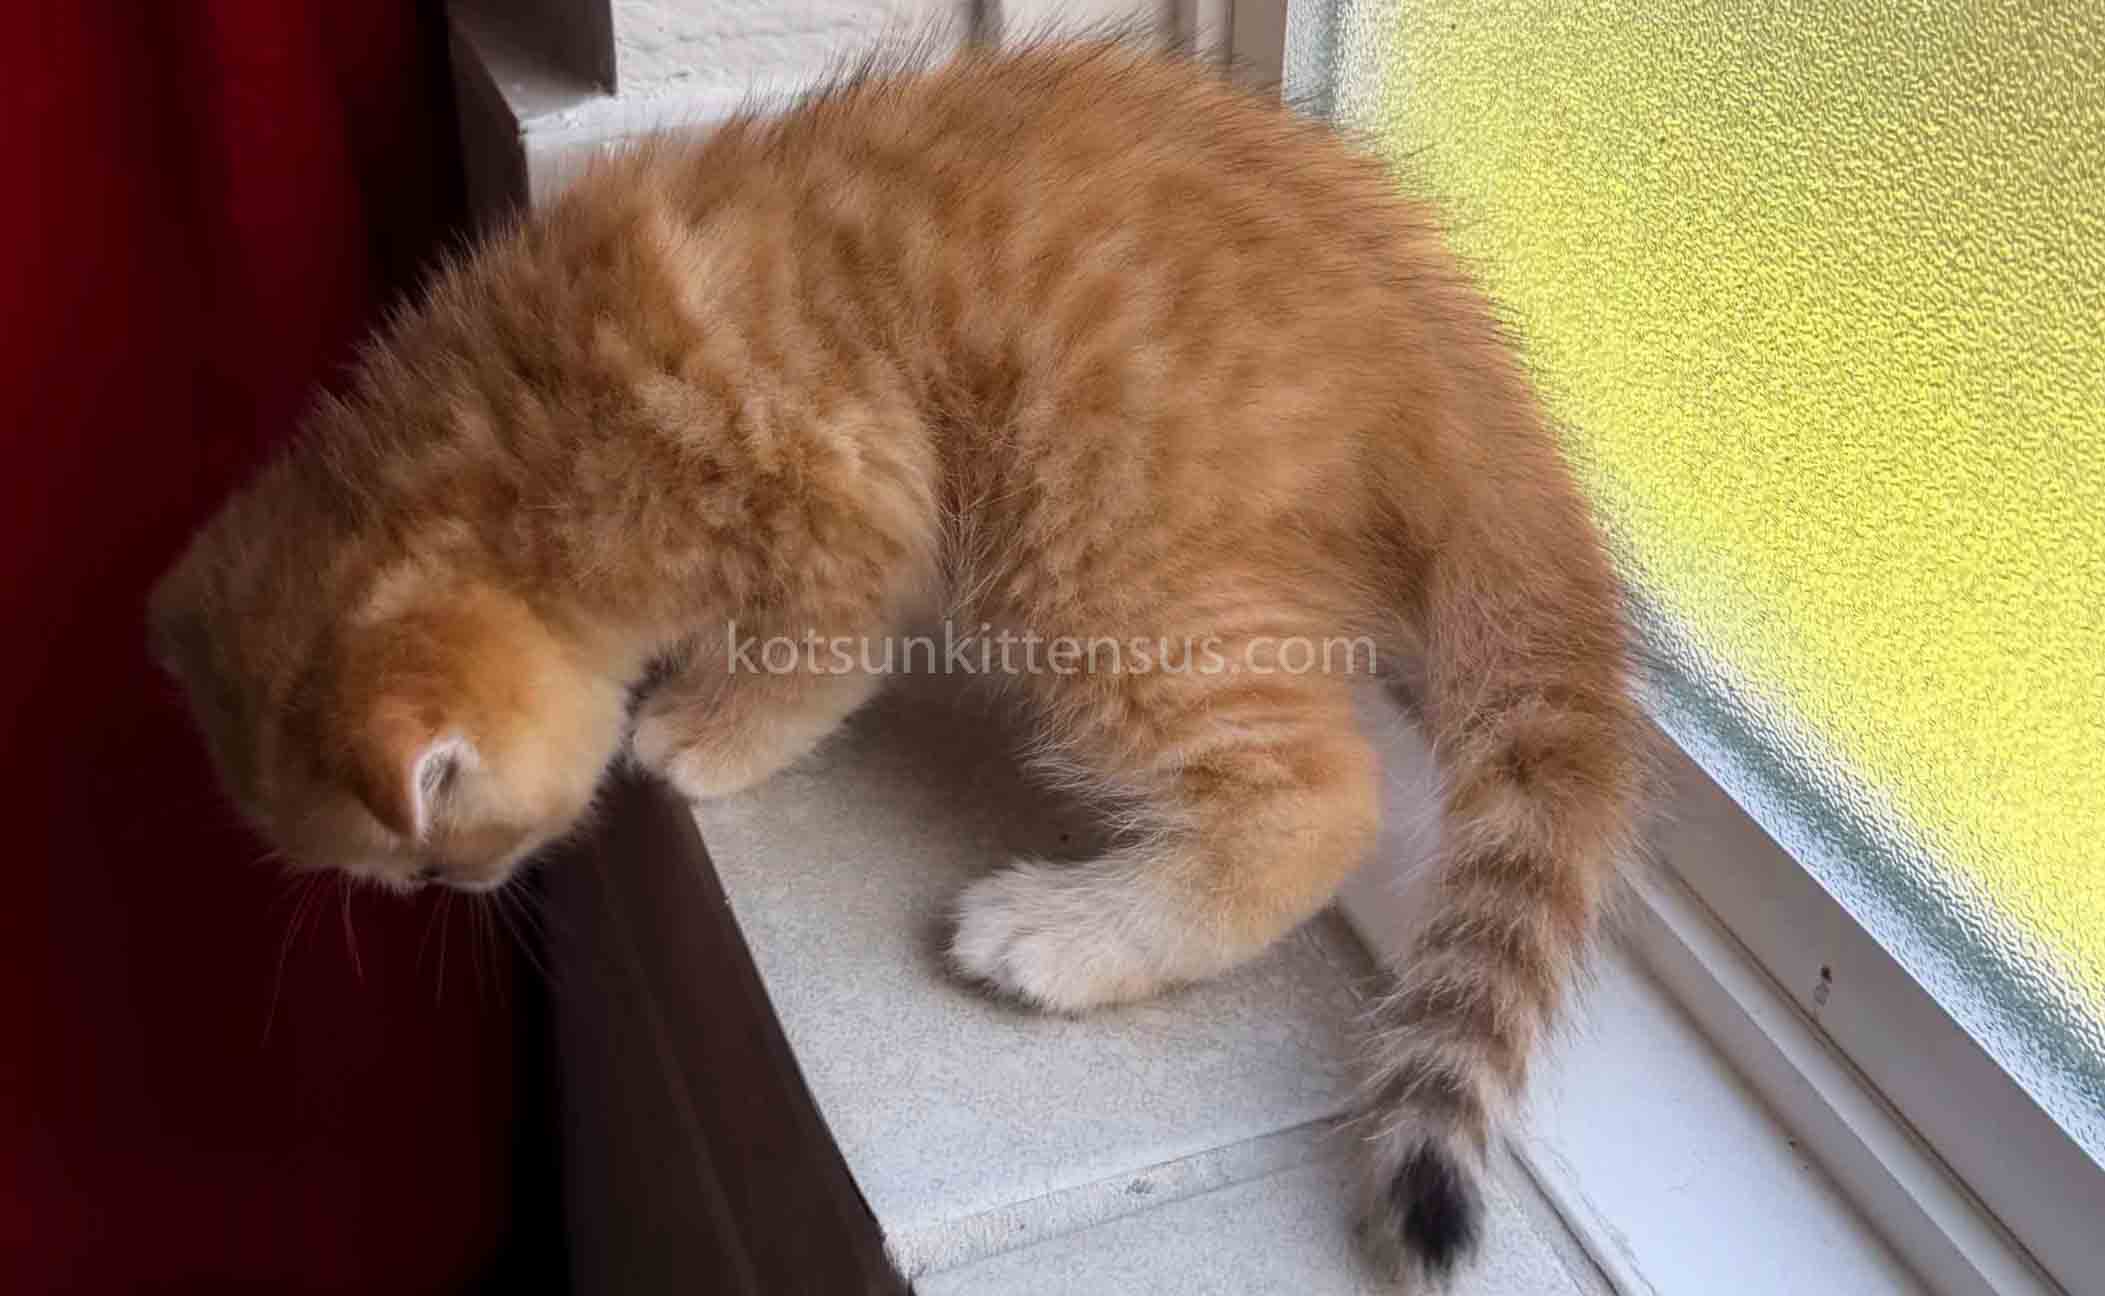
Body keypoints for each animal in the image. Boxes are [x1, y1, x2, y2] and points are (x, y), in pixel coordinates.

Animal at [149, 40, 1647, 1290]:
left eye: (426, 862)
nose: (464, 889)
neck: (494, 446)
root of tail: (1448, 348)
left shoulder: (837, 477)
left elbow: (813, 648)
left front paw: (706, 731)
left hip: (1090, 557)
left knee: (1321, 796)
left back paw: (1068, 938)